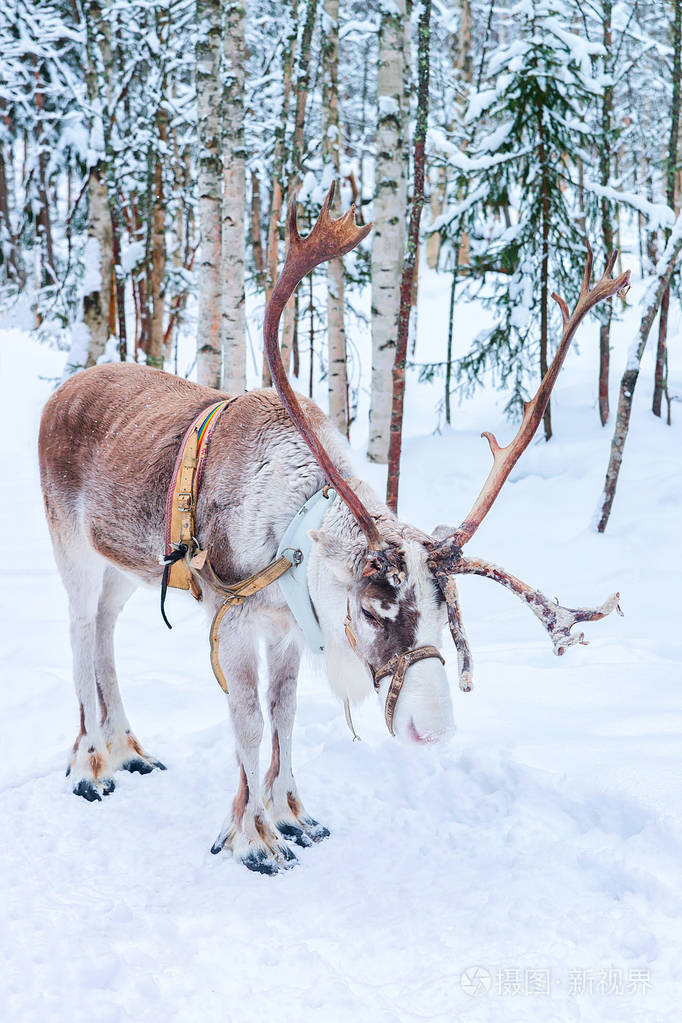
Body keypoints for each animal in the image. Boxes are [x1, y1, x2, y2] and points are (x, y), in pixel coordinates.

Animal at [38, 183, 629, 874]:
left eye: (445, 612)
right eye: (373, 608)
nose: (432, 731)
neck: (291, 536)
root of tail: (61, 391)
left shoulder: (290, 627)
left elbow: (284, 712)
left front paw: (293, 814)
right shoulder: (230, 620)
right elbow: (247, 720)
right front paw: (252, 839)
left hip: (126, 566)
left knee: (105, 632)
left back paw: (130, 750)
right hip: (73, 548)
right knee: (80, 635)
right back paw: (91, 766)